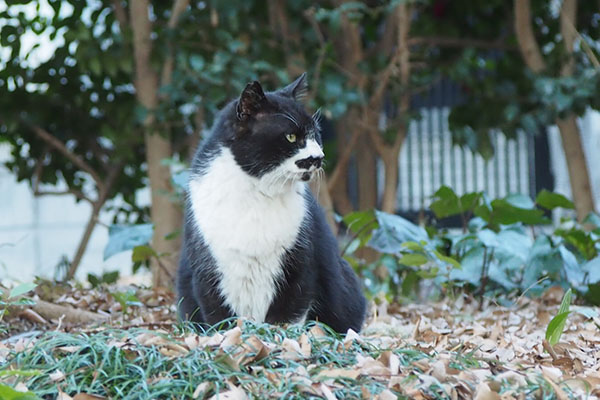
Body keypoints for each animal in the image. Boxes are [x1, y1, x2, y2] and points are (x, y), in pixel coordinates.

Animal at [176, 73, 366, 332]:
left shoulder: (301, 263)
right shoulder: (207, 267)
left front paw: (276, 337)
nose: (318, 157)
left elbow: (288, 314)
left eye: (316, 134)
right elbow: (218, 314)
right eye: (291, 137)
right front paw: (231, 335)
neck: (258, 192)